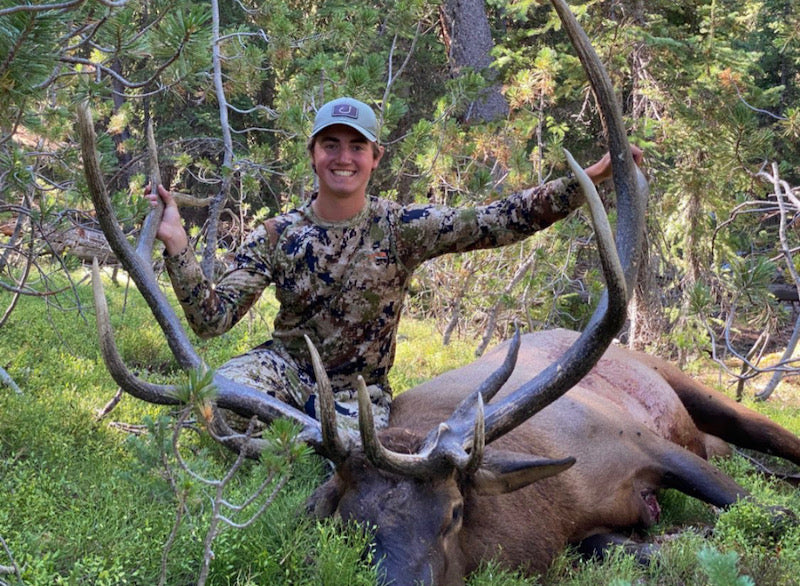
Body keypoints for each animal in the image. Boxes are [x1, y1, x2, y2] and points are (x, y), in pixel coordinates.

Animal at [77, 1, 800, 584]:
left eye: (454, 513)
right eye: (346, 520)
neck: (558, 509)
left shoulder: (642, 443)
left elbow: (760, 515)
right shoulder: (590, 528)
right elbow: (622, 544)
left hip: (684, 383)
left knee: (767, 442)